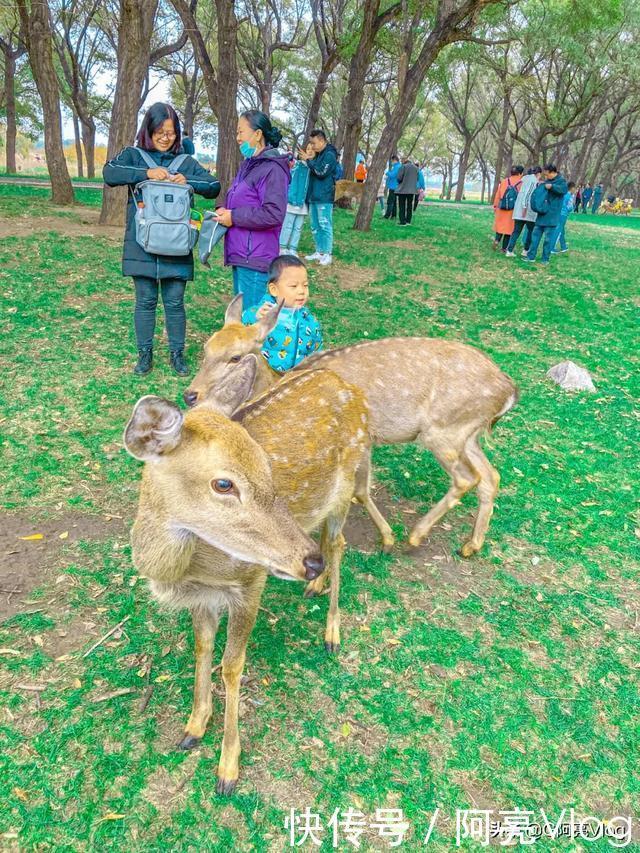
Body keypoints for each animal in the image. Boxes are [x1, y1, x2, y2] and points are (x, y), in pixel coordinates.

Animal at [124, 360, 370, 792]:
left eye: (266, 467)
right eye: (223, 483)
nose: (308, 562)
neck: (190, 571)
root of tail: (346, 384)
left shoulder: (251, 580)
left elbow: (231, 665)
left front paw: (227, 769)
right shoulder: (203, 596)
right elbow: (203, 648)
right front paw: (193, 728)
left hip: (348, 482)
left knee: (339, 544)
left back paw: (331, 632)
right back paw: (315, 587)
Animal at [182, 296, 516, 564]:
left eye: (235, 357)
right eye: (206, 347)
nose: (190, 395)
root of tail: (509, 391)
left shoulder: (362, 436)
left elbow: (358, 489)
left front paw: (387, 539)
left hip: (442, 431)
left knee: (467, 478)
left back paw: (416, 536)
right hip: (467, 434)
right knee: (491, 476)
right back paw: (471, 545)